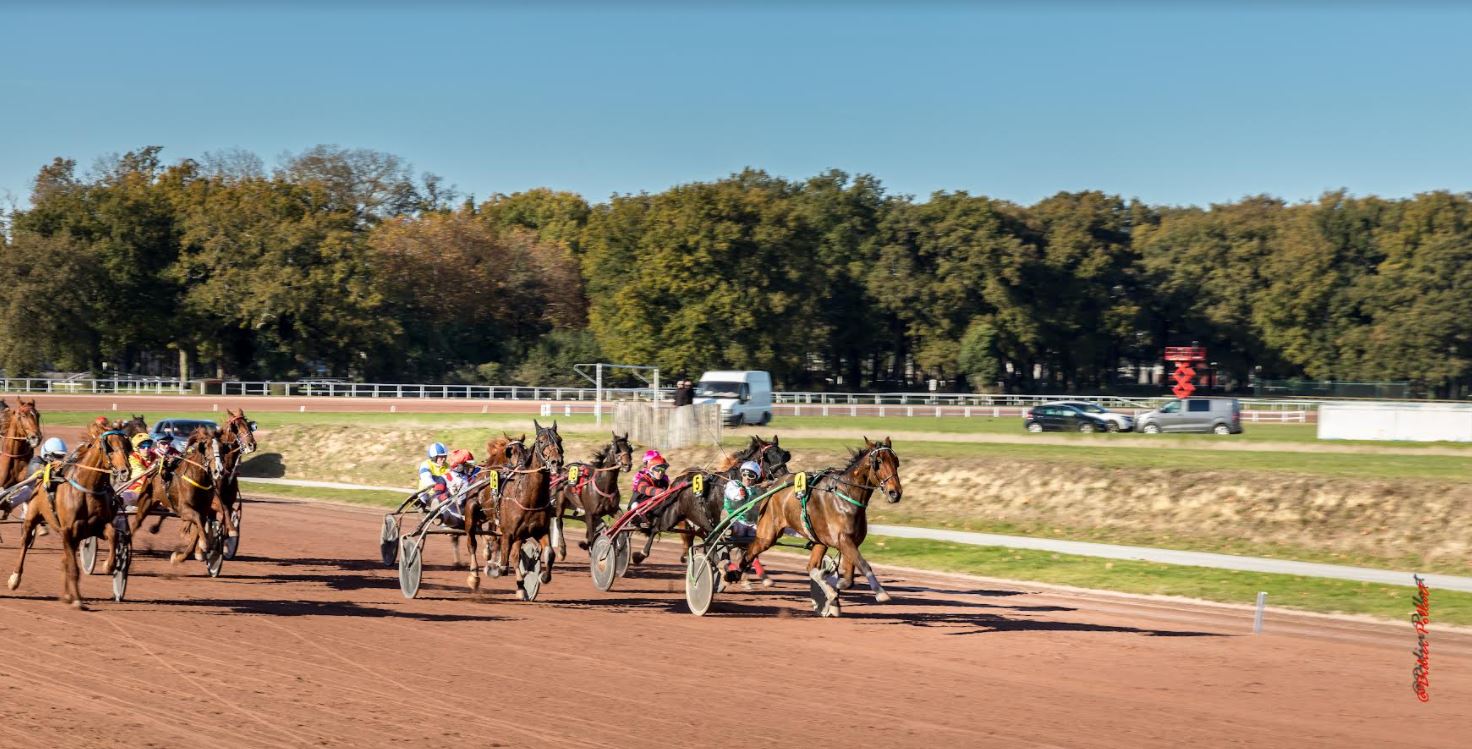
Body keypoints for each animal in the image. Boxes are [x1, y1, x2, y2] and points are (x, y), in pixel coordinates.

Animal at [5, 420, 131, 606]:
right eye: (109, 447)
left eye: (126, 446)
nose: (125, 471)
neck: (87, 488)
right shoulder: (67, 529)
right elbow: (73, 567)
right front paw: (77, 599)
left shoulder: (95, 527)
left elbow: (113, 534)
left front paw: (108, 566)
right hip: (33, 517)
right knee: (25, 543)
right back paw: (15, 578)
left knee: (65, 557)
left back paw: (66, 594)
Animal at [465, 417, 562, 597]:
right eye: (541, 440)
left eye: (559, 440)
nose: (556, 461)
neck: (529, 497)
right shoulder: (508, 532)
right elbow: (504, 565)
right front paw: (493, 568)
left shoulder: (538, 531)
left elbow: (549, 553)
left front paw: (542, 576)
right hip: (471, 512)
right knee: (471, 542)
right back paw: (474, 575)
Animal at [547, 429, 627, 559]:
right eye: (616, 449)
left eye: (630, 449)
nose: (627, 464)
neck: (603, 485)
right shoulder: (590, 512)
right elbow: (590, 536)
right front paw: (586, 545)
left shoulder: (613, 510)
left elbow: (621, 524)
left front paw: (619, 546)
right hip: (560, 502)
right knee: (559, 522)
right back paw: (562, 551)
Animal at [733, 435, 894, 615]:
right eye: (878, 461)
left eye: (896, 461)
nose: (895, 492)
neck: (845, 496)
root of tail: (774, 486)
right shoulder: (844, 540)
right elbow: (863, 564)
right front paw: (881, 593)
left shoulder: (850, 542)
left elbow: (848, 576)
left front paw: (835, 585)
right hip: (767, 535)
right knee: (748, 554)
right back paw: (734, 573)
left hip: (818, 540)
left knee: (811, 567)